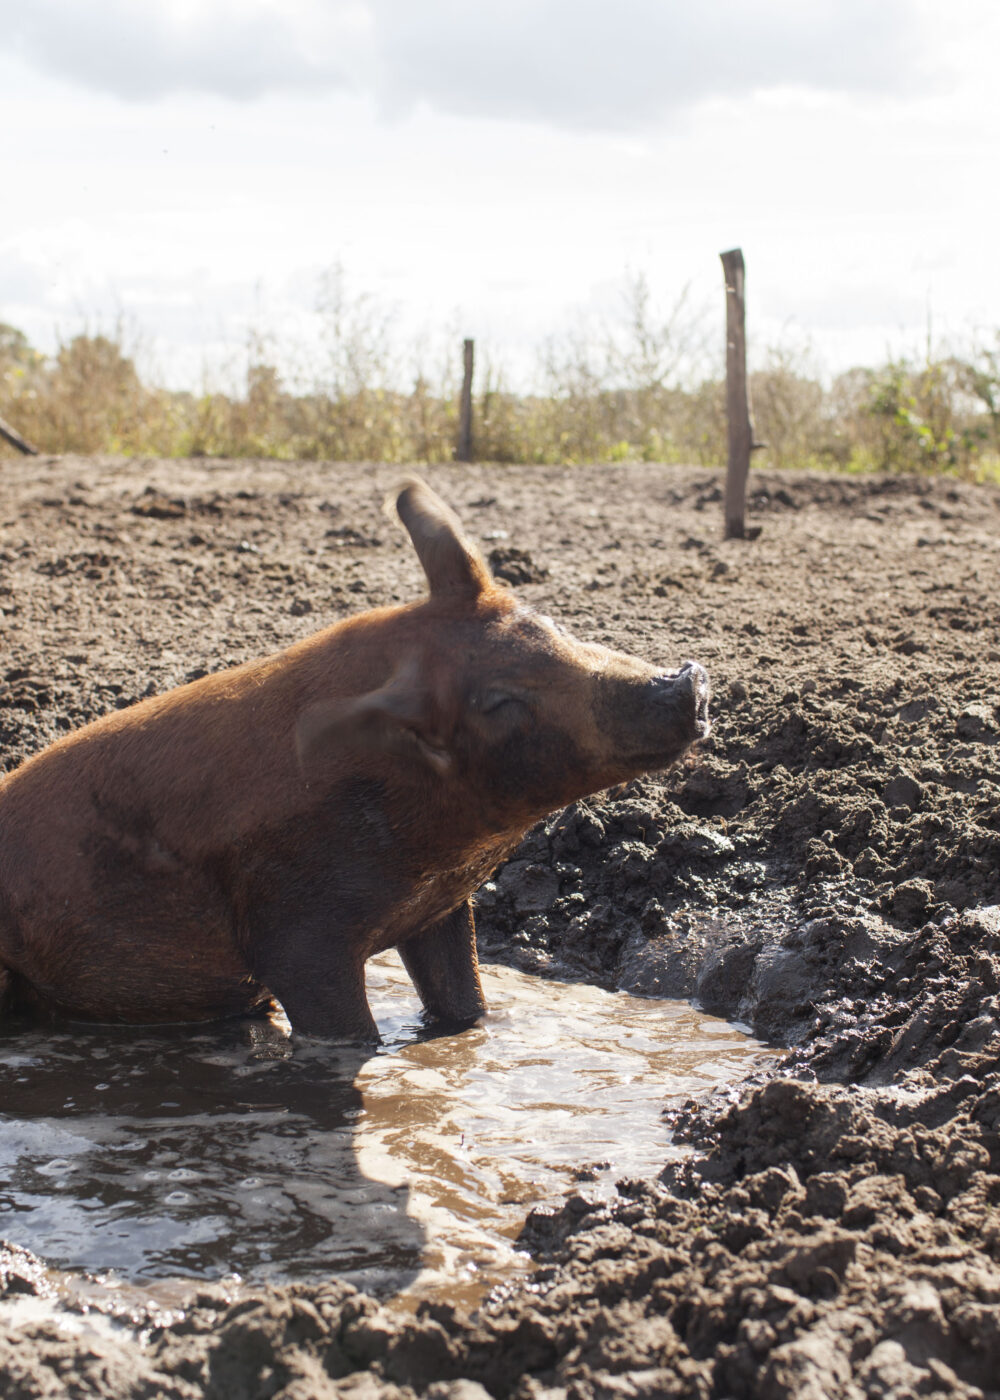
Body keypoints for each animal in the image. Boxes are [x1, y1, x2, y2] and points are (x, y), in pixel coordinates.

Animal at [0, 481, 708, 1041]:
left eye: (551, 624)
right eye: (500, 701)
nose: (686, 679)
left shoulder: (441, 907)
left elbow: (465, 1003)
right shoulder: (296, 937)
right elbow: (345, 1034)